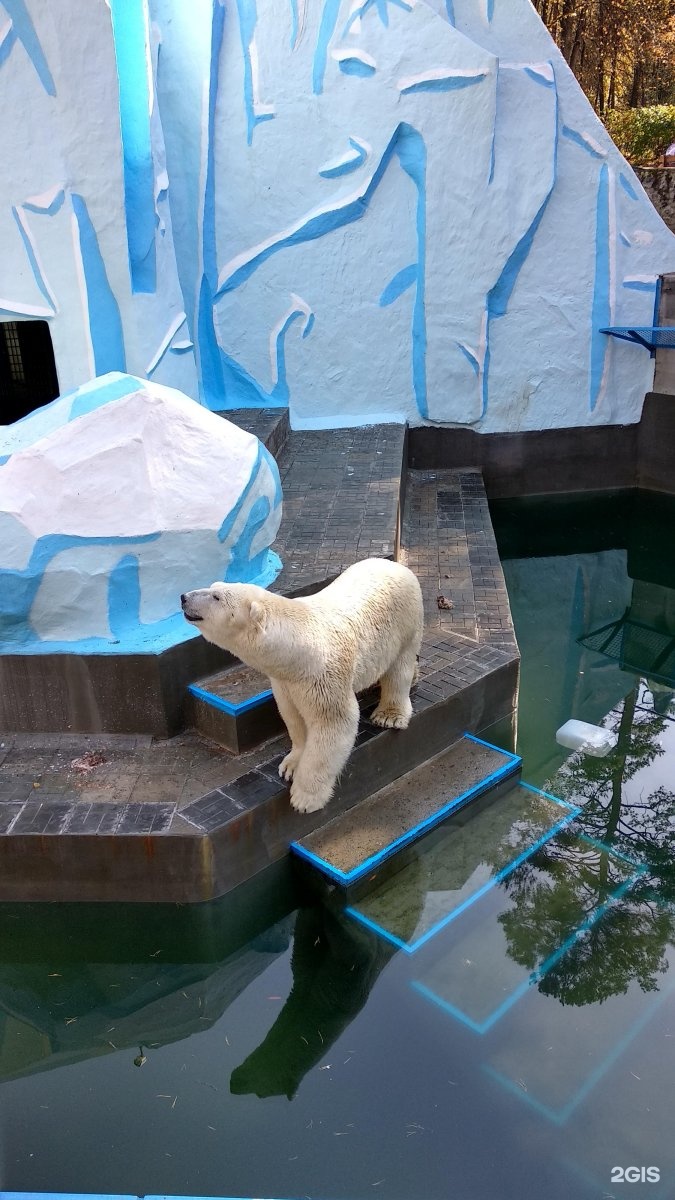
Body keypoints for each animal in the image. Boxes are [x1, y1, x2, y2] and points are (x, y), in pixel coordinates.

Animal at [178, 556, 420, 811]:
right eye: (213, 586)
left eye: (216, 597)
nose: (183, 597)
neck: (299, 650)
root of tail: (395, 564)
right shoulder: (287, 681)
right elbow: (294, 717)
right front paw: (291, 766)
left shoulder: (324, 677)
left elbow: (333, 725)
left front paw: (304, 797)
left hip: (405, 623)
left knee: (399, 667)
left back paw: (389, 715)